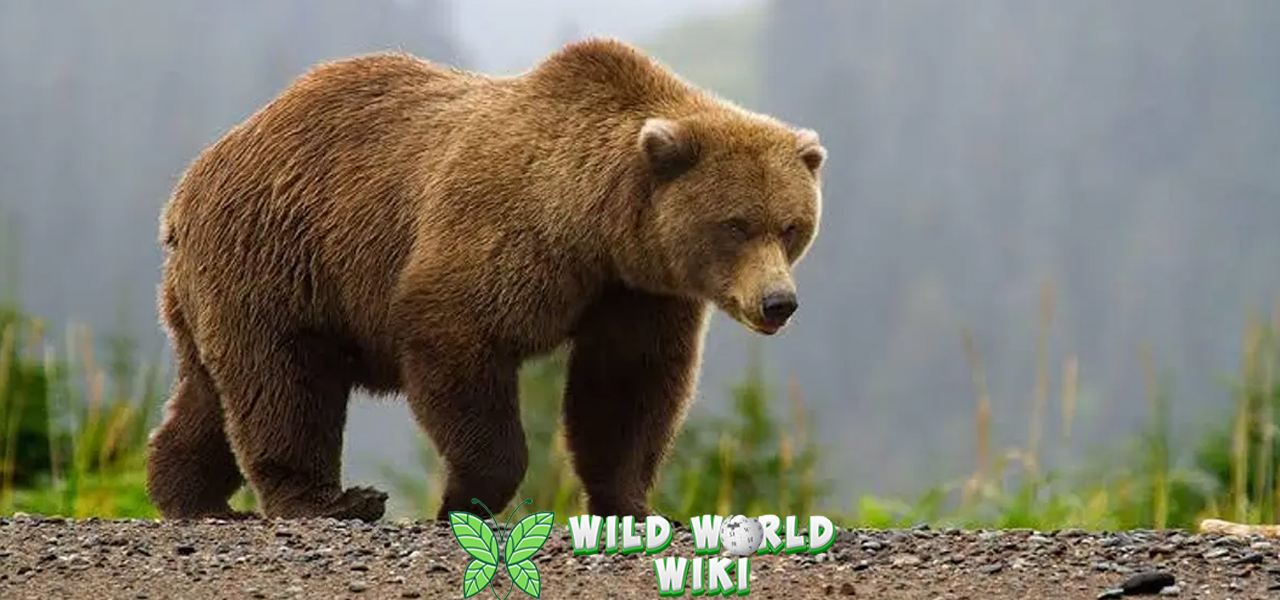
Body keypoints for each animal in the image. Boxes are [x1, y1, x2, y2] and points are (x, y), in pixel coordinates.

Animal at [144, 37, 827, 523]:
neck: (597, 227)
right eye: (736, 224)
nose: (779, 302)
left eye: (792, 226)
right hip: (280, 256)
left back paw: (190, 495)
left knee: (211, 392)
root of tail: (188, 185)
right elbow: (458, 339)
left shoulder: (636, 292)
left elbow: (627, 388)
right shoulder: (506, 236)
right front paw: (464, 499)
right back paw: (330, 501)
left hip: (219, 285)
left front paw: (632, 505)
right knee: (285, 382)